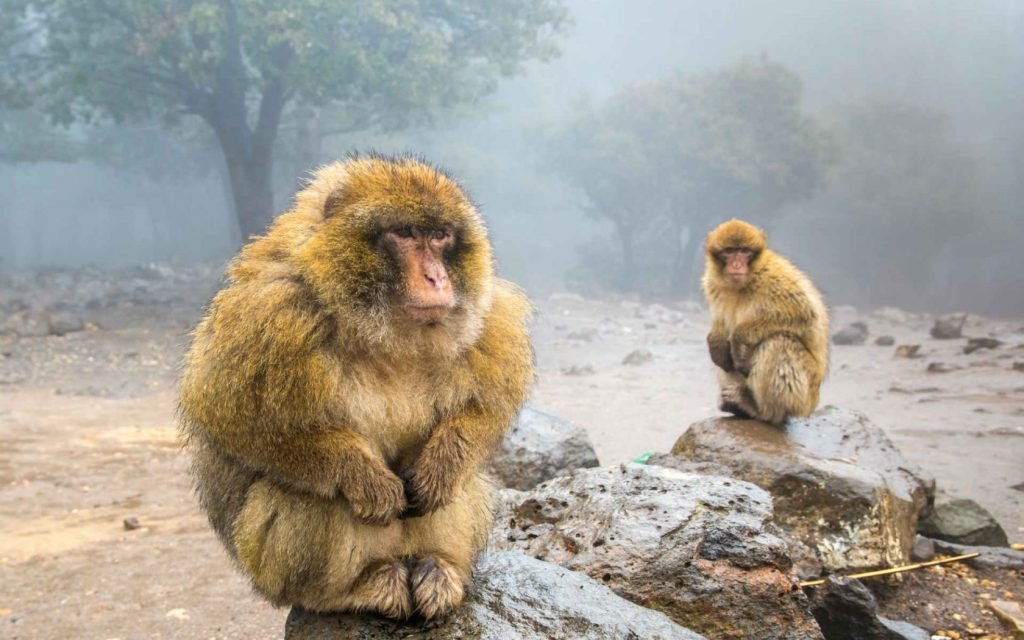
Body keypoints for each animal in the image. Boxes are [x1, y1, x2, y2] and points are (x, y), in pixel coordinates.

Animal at [175, 154, 532, 618]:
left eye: (440, 236)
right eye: (405, 234)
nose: (437, 278)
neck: (383, 331)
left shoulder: (489, 313)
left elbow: (489, 406)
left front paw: (444, 463)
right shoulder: (268, 312)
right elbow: (226, 417)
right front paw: (363, 479)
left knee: (460, 488)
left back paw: (439, 570)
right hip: (268, 569)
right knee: (302, 496)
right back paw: (354, 590)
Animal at [700, 218, 827, 423]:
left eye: (744, 251)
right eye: (729, 251)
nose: (737, 264)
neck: (744, 284)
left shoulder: (773, 278)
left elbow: (804, 314)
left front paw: (740, 337)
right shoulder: (712, 283)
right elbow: (721, 322)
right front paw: (716, 340)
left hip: (805, 395)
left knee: (780, 342)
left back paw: (760, 409)